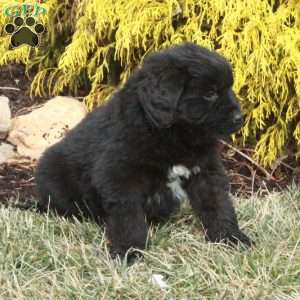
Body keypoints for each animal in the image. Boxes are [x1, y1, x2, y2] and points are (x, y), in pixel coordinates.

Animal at [36, 42, 254, 256]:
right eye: (210, 93)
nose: (240, 118)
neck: (172, 134)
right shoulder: (120, 176)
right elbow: (129, 218)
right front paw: (129, 251)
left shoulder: (206, 171)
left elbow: (218, 205)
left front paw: (231, 238)